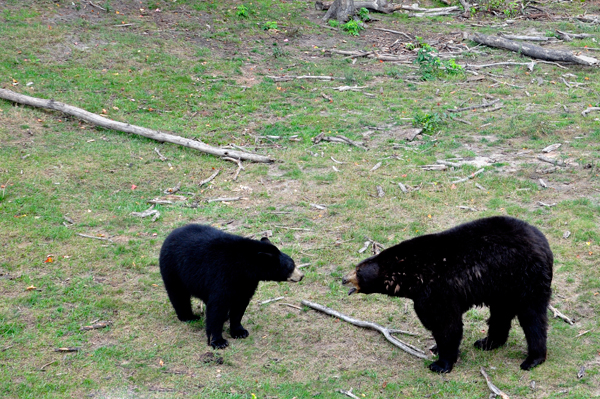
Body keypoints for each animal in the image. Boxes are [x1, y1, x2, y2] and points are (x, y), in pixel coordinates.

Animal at [158, 225, 302, 350]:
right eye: (290, 266)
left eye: (293, 262)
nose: (301, 276)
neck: (243, 267)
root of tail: (172, 233)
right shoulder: (222, 275)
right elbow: (217, 306)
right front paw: (219, 341)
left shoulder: (246, 283)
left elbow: (239, 305)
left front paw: (239, 331)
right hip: (173, 269)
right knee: (178, 295)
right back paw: (188, 317)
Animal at [342, 217, 552, 374]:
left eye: (358, 271)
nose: (343, 279)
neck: (411, 273)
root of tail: (544, 243)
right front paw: (436, 348)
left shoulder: (437, 288)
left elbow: (446, 324)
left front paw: (441, 363)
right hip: (502, 286)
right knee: (501, 313)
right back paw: (488, 342)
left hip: (526, 278)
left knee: (532, 317)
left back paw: (533, 358)